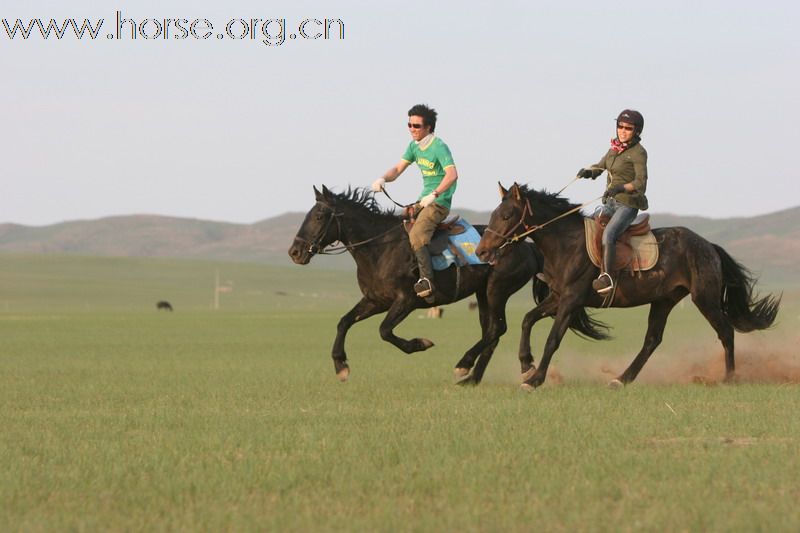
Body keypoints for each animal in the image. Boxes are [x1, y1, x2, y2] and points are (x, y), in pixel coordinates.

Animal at [284, 186, 604, 382]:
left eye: (319, 215)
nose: (295, 252)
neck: (379, 248)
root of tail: (527, 245)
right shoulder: (375, 300)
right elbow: (343, 322)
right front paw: (341, 365)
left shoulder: (406, 301)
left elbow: (385, 331)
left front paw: (419, 344)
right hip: (483, 295)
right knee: (492, 332)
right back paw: (472, 377)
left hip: (496, 289)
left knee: (497, 329)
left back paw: (465, 365)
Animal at [476, 182, 780, 386]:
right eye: (492, 215)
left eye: (506, 216)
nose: (481, 252)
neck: (566, 244)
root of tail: (708, 246)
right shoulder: (558, 298)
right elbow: (527, 320)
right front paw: (526, 365)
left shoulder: (571, 300)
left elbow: (553, 339)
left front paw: (535, 378)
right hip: (664, 301)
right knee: (652, 341)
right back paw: (622, 379)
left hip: (704, 298)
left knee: (725, 332)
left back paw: (729, 377)